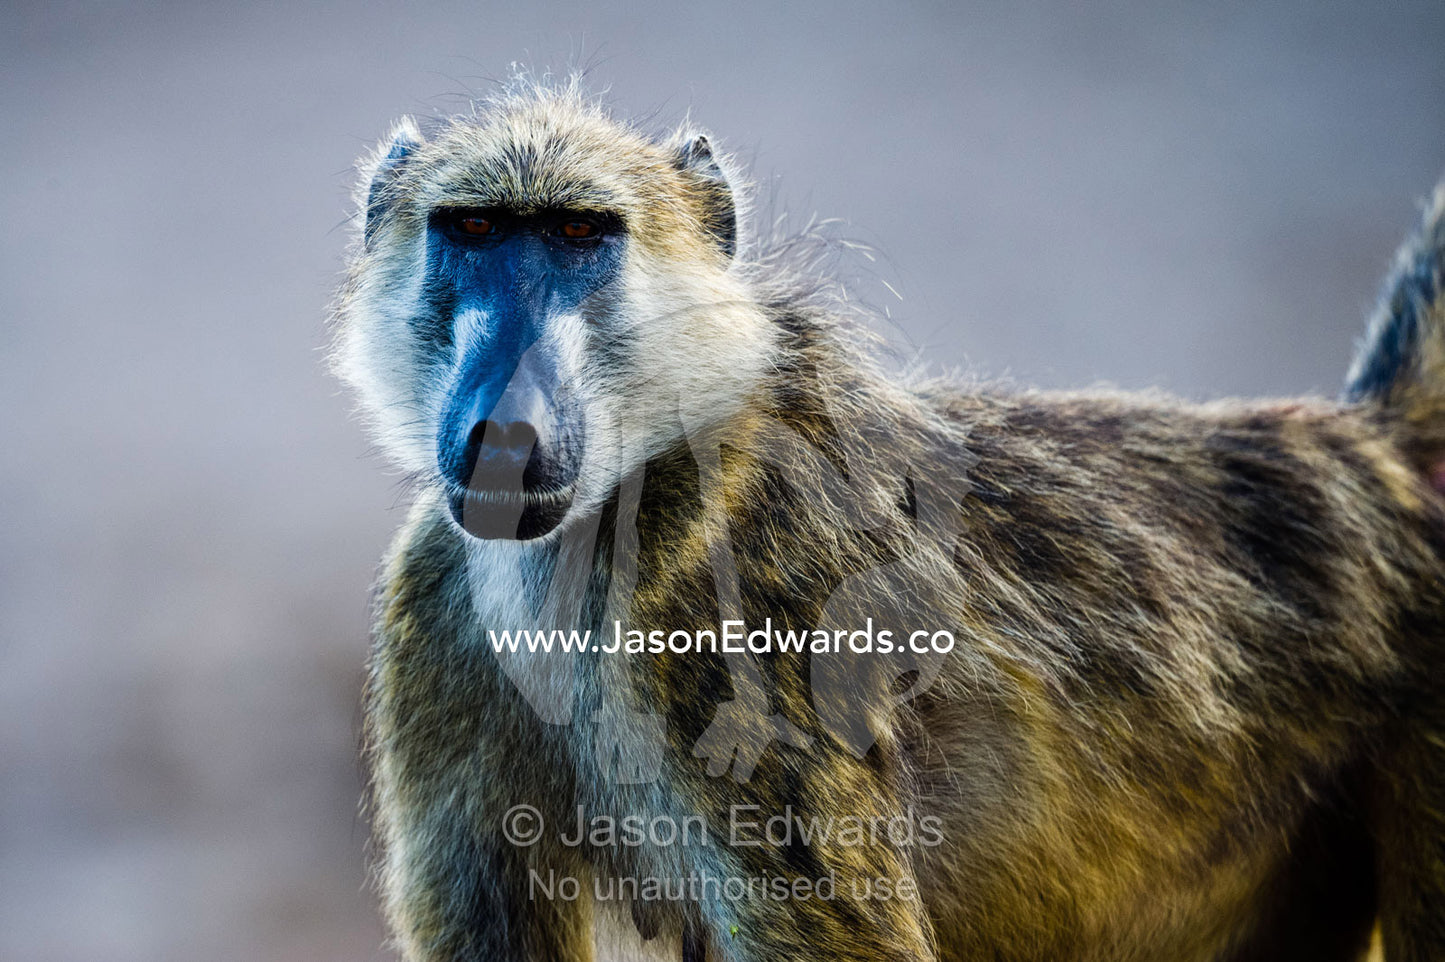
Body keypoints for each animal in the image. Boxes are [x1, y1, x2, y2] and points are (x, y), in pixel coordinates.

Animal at [332, 76, 1445, 962]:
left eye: (577, 235)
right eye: (474, 231)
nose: (504, 431)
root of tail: (1370, 454)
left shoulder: (741, 628)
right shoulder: (435, 607)